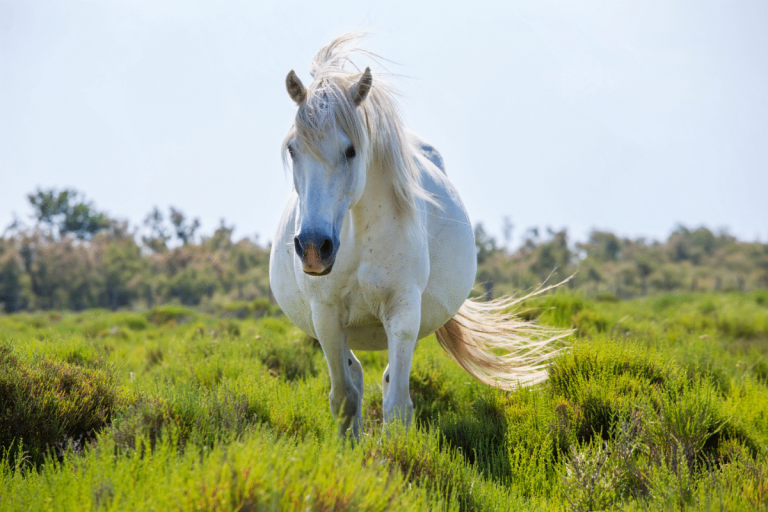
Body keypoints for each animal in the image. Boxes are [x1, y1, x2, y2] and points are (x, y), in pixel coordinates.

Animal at [270, 34, 564, 438]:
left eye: (351, 150)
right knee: (355, 376)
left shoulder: (403, 312)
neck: (357, 239)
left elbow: (397, 405)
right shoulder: (326, 316)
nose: (315, 249)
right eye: (292, 149)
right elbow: (343, 398)